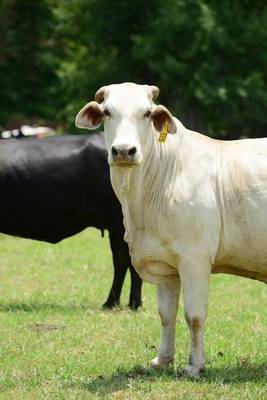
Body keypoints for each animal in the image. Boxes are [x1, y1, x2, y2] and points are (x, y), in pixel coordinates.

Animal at [75, 83, 267, 376]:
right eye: (107, 112)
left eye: (146, 113)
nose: (124, 151)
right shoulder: (165, 265)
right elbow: (166, 315)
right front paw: (162, 360)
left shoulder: (194, 258)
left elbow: (194, 315)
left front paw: (195, 365)